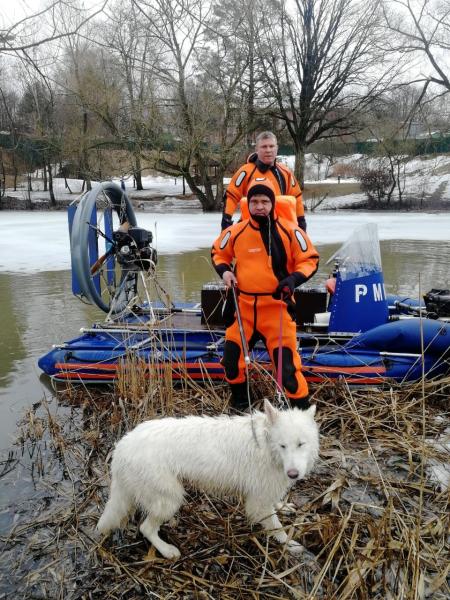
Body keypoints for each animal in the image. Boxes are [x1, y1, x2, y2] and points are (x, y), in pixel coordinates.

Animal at [96, 398, 318, 556]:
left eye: (301, 444)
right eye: (283, 445)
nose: (293, 474)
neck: (265, 444)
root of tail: (122, 446)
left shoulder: (267, 492)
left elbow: (276, 505)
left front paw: (283, 506)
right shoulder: (258, 502)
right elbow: (277, 527)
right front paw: (290, 544)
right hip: (170, 498)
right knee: (146, 528)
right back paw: (168, 551)